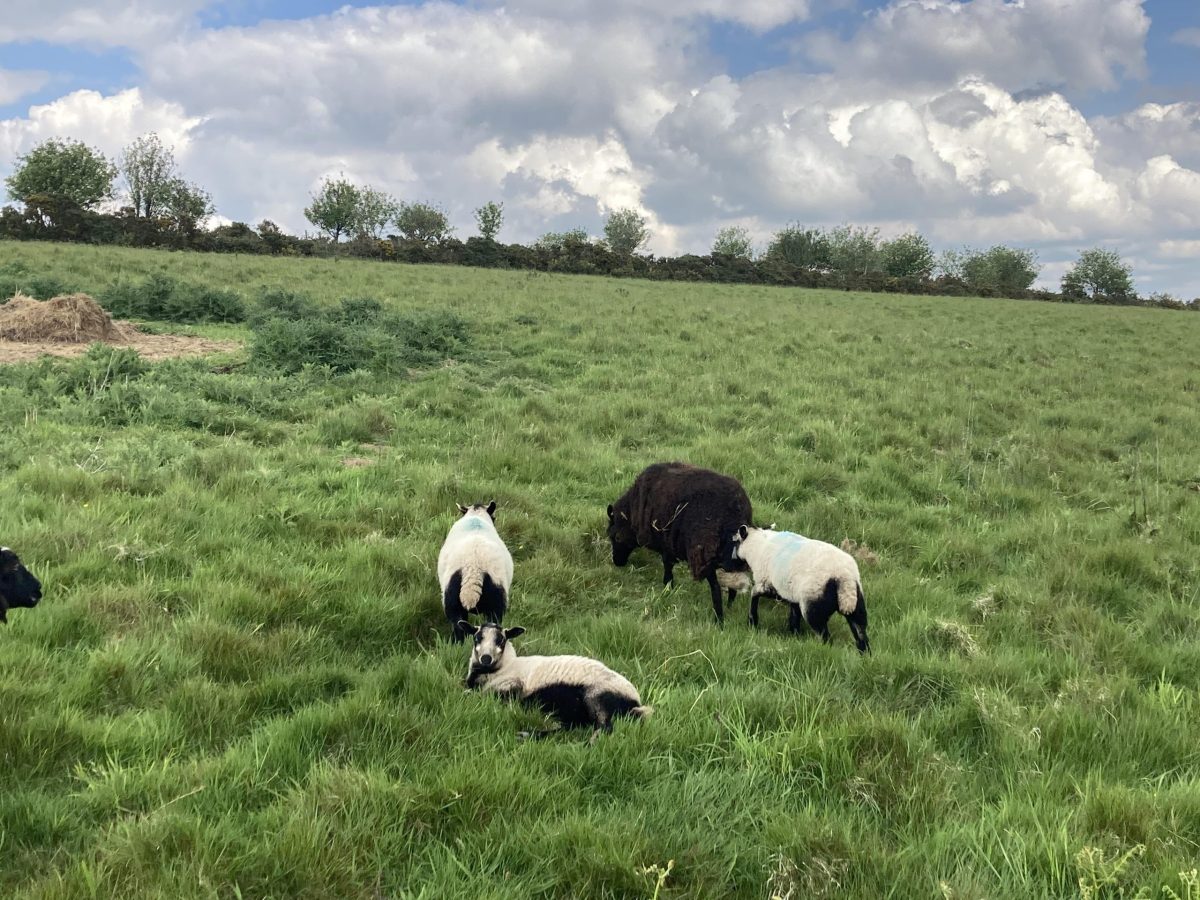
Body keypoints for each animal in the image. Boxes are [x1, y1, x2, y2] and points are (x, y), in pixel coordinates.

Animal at [437, 501, 513, 643]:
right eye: (494, 517)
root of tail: (473, 569)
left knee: (458, 624)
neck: (476, 517)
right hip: (496, 601)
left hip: (451, 599)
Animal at [461, 621, 652, 739]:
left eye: (501, 639)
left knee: (604, 727)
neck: (504, 667)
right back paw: (529, 735)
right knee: (572, 726)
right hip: (573, 710)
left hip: (598, 696)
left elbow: (476, 695)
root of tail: (635, 703)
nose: (486, 658)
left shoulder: (512, 686)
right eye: (477, 638)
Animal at [606, 461, 753, 624]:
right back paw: (729, 607)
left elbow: (667, 564)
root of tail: (735, 510)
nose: (617, 562)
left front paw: (667, 587)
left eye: (615, 537)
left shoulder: (665, 542)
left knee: (715, 587)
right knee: (732, 583)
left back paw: (718, 619)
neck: (633, 509)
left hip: (703, 551)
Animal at [731, 525, 870, 653]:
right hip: (857, 603)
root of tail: (844, 576)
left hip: (813, 604)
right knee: (861, 633)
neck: (757, 547)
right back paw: (864, 656)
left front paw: (752, 621)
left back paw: (824, 649)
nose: (732, 558)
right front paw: (794, 634)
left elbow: (754, 593)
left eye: (736, 541)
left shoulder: (770, 586)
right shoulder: (792, 595)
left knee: (825, 636)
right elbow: (794, 614)